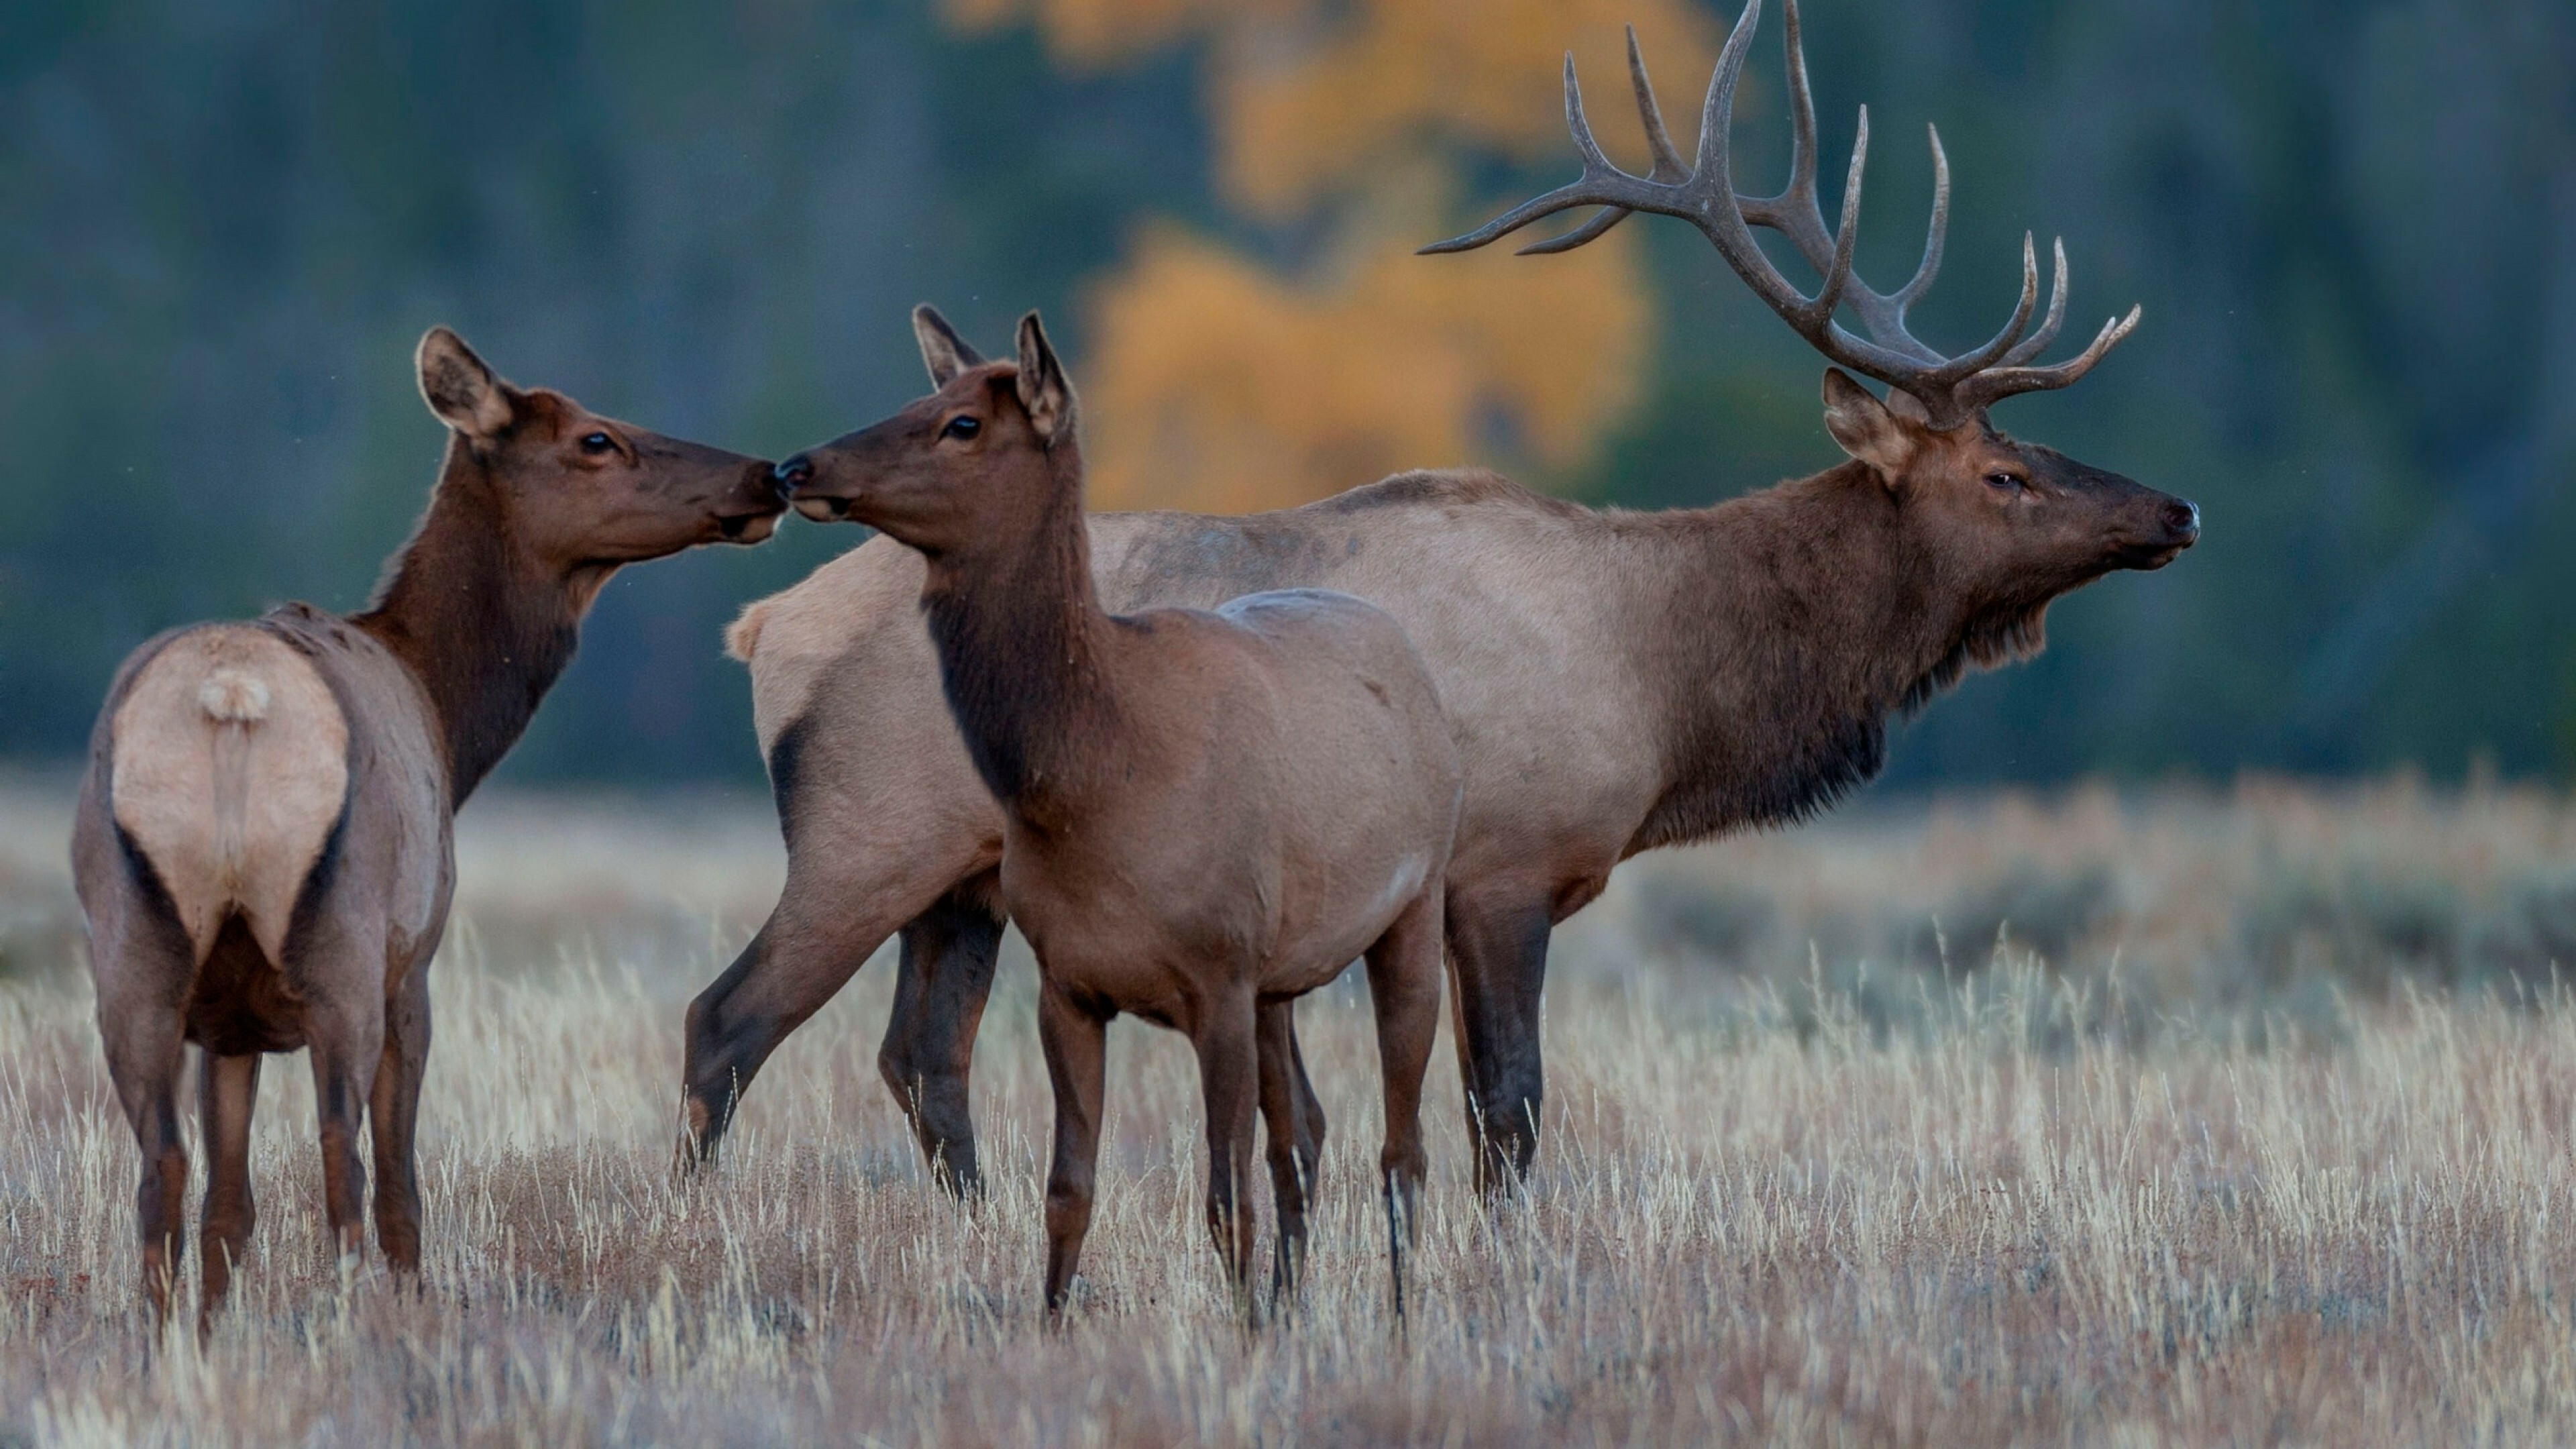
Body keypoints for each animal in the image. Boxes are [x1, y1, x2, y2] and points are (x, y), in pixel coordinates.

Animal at [72, 327, 783, 1320]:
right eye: (596, 439)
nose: (767, 476)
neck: (449, 717)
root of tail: (230, 698)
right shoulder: (414, 966)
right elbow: (400, 1182)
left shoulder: (231, 1019)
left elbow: (230, 1204)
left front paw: (215, 1326)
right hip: (346, 939)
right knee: (346, 1160)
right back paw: (352, 1322)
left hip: (132, 945)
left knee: (164, 1165)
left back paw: (163, 1332)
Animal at [773, 307, 1463, 1320]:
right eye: (923, 394)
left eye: (963, 424)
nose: (798, 467)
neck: (1100, 784)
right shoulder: (1069, 980)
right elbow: (1069, 1191)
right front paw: (1059, 1326)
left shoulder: (1219, 973)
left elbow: (1222, 1198)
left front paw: (1244, 1336)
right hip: (1283, 974)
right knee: (1304, 1132)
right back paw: (1295, 1301)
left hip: (1412, 905)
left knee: (1400, 1149)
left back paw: (1401, 1318)